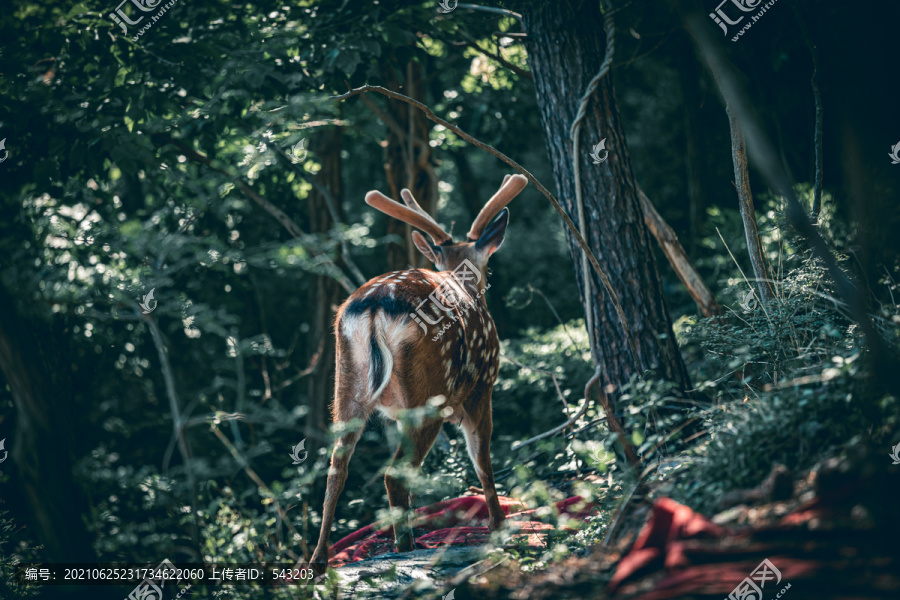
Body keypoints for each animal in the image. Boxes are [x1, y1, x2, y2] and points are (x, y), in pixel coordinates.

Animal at [310, 173, 528, 572]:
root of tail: (374, 306)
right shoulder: (482, 387)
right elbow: (483, 460)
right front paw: (499, 528)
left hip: (347, 384)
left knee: (337, 467)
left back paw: (320, 560)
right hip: (430, 393)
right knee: (396, 473)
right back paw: (407, 546)